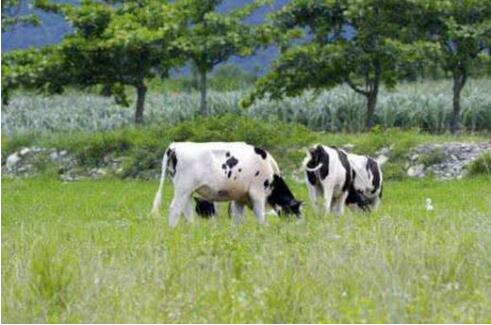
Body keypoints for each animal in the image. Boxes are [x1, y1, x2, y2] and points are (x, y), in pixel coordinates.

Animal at [151, 140, 304, 227]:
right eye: (295, 210)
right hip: (183, 188)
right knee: (175, 210)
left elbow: (236, 219)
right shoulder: (257, 193)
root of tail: (176, 145)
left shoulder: (240, 198)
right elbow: (261, 217)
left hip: (187, 191)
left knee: (187, 211)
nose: (300, 226)